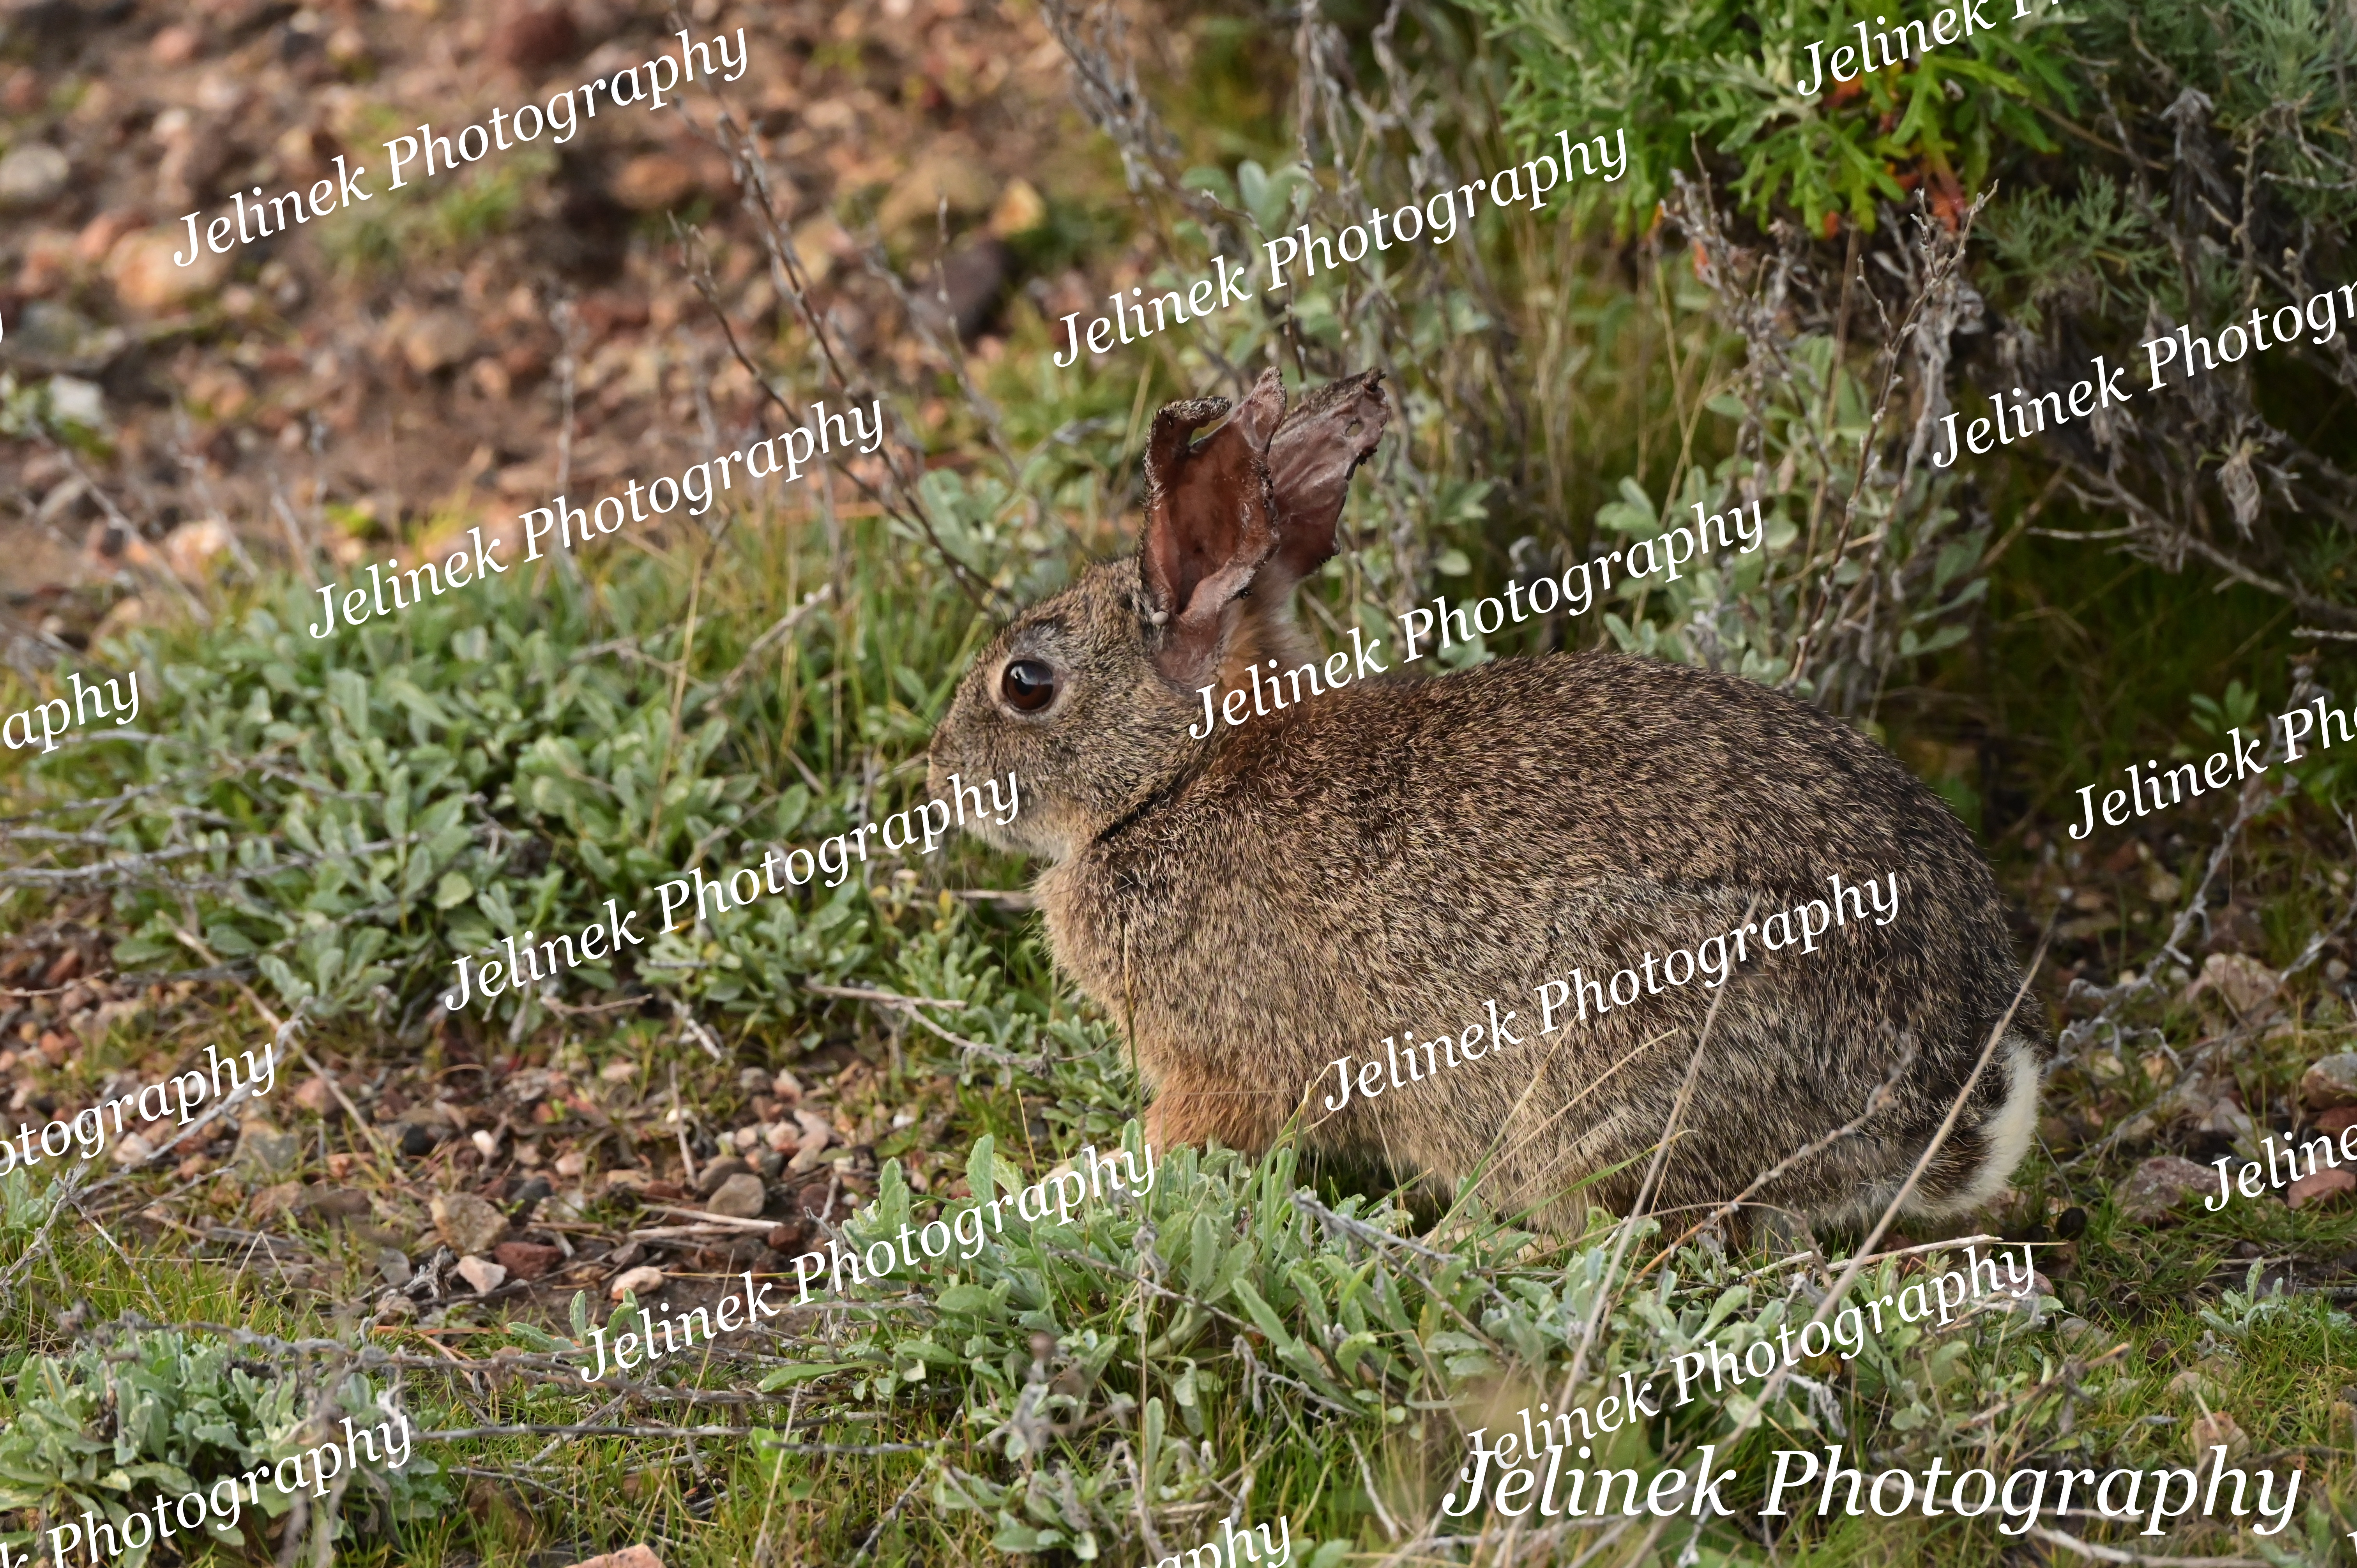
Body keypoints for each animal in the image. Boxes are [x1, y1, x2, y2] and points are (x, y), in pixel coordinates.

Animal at [925, 366, 2048, 1234]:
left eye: (1026, 684)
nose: (936, 777)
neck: (1180, 777)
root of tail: (1936, 1111)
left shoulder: (1226, 1061)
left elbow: (1183, 1137)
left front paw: (1051, 1190)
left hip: (1613, 1064)